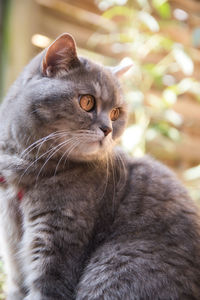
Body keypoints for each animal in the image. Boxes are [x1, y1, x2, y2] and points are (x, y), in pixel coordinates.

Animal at [0, 33, 200, 300]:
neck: (25, 174)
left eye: (116, 113)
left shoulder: (59, 247)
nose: (108, 129)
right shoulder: (13, 259)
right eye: (87, 102)